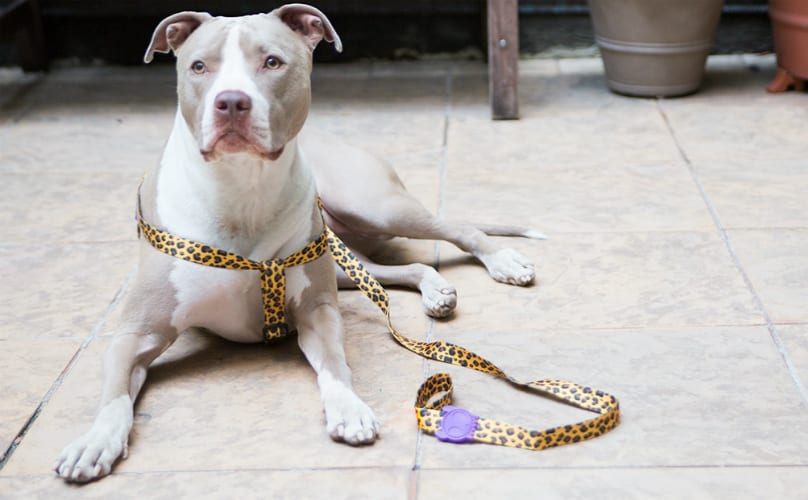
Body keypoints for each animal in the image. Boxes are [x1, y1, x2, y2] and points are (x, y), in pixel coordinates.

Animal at [53, 2, 540, 480]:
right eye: (199, 66)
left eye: (272, 62)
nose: (232, 102)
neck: (242, 192)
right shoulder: (137, 332)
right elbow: (114, 395)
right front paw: (94, 441)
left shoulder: (318, 311)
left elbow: (336, 366)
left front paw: (349, 409)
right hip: (346, 261)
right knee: (404, 269)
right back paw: (436, 291)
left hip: (376, 207)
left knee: (460, 229)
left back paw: (504, 263)